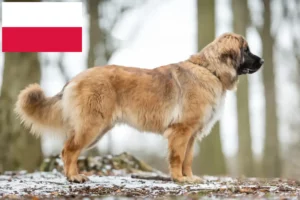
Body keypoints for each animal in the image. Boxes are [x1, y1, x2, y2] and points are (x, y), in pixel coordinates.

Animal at [14, 32, 262, 183]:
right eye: (246, 50)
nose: (262, 61)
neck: (210, 70)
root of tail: (75, 78)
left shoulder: (192, 134)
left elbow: (188, 159)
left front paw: (189, 178)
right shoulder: (181, 131)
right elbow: (177, 157)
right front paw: (178, 179)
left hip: (96, 129)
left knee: (69, 150)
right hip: (92, 126)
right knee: (68, 150)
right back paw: (74, 177)